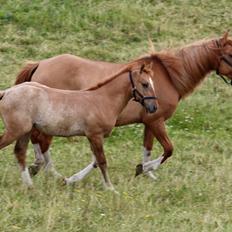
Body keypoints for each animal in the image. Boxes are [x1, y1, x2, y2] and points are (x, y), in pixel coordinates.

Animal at [0, 63, 158, 190]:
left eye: (152, 83)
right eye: (145, 84)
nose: (154, 107)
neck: (103, 100)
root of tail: (6, 92)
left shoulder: (93, 137)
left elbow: (95, 161)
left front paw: (70, 180)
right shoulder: (95, 135)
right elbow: (102, 161)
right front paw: (110, 188)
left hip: (25, 131)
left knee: (20, 152)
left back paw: (30, 186)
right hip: (15, 131)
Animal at [15, 31, 232, 179]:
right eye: (230, 54)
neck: (167, 76)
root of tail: (40, 64)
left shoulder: (149, 122)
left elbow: (147, 150)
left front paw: (146, 172)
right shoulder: (156, 120)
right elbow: (168, 149)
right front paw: (145, 169)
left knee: (38, 140)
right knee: (41, 141)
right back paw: (49, 171)